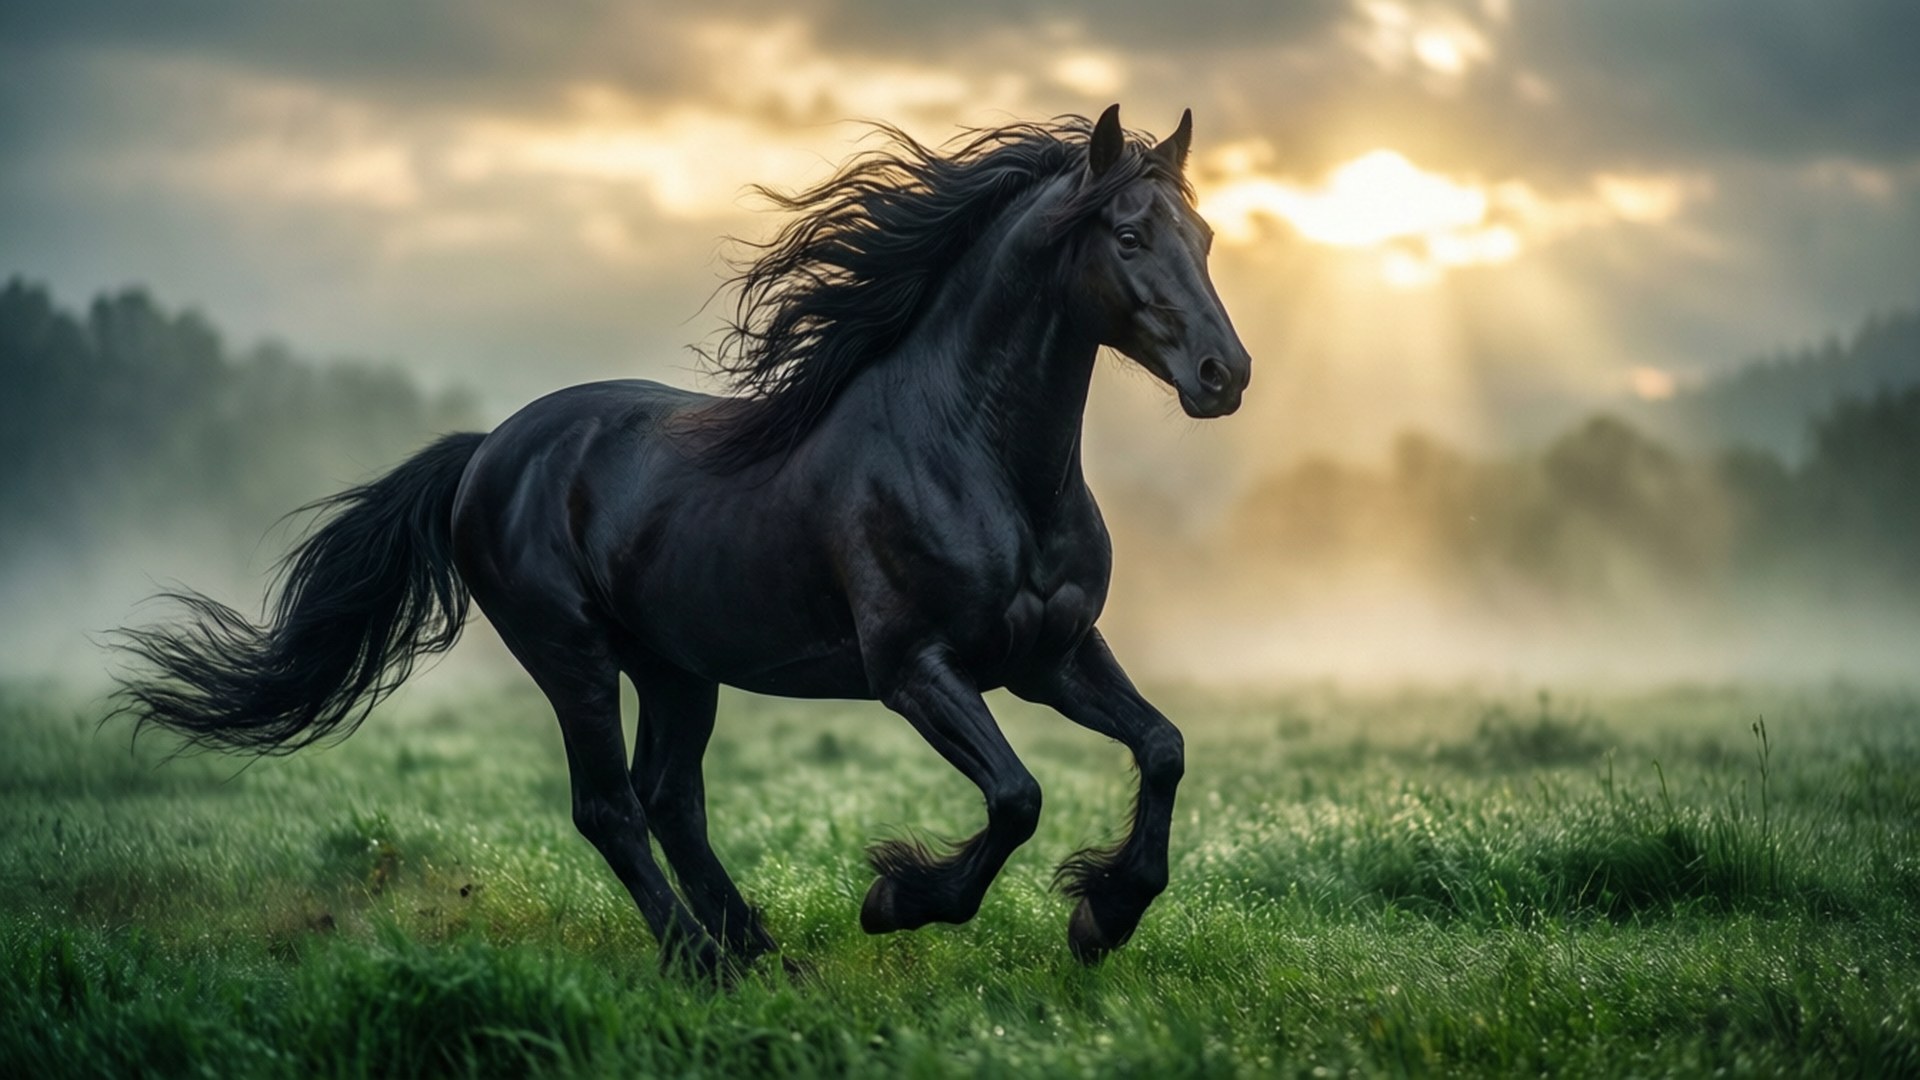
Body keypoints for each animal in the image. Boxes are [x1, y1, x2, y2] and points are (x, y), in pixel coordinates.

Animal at [113, 104, 1254, 977]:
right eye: (1128, 236)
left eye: (1203, 239)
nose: (1224, 374)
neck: (977, 456)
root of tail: (489, 452)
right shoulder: (915, 669)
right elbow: (1017, 798)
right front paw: (899, 900)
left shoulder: (1049, 655)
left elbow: (1163, 747)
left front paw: (1104, 914)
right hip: (572, 656)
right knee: (610, 808)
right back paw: (704, 961)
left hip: (675, 666)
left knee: (671, 800)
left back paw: (761, 954)